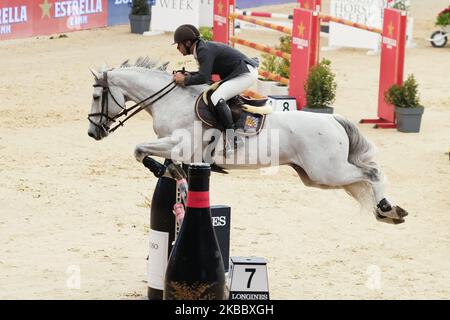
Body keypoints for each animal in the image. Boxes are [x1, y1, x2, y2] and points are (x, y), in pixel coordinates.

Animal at [87, 57, 408, 224]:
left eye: (96, 96)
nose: (93, 133)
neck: (172, 99)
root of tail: (332, 119)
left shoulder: (179, 144)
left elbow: (139, 150)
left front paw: (163, 170)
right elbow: (156, 159)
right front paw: (172, 172)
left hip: (327, 172)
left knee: (372, 172)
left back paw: (386, 208)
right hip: (317, 177)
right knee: (361, 180)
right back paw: (388, 211)